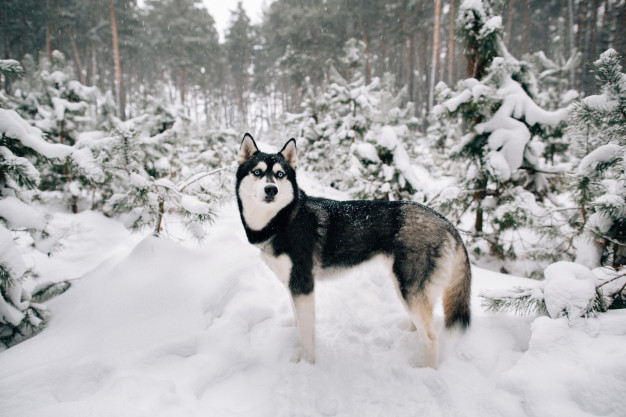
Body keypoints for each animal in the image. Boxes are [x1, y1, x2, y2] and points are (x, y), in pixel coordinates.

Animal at [236, 133, 470, 368]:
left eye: (280, 174)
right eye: (257, 172)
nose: (271, 189)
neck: (283, 220)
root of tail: (445, 221)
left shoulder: (303, 284)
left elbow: (307, 335)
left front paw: (306, 364)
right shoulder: (293, 284)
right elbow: (298, 319)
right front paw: (293, 329)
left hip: (408, 288)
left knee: (430, 336)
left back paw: (426, 369)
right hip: (406, 288)